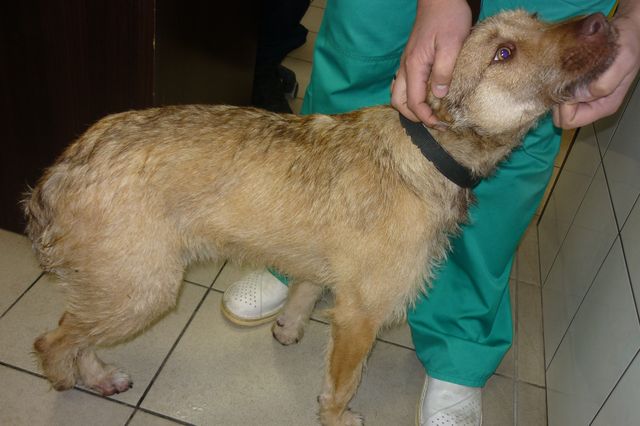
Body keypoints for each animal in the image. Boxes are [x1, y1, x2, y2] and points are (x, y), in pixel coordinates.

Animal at [23, 10, 617, 426]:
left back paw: (95, 374)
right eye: (503, 52)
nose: (602, 21)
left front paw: (289, 324)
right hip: (144, 288)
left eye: (538, 17)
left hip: (121, 284)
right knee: (53, 339)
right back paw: (69, 380)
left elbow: (306, 290)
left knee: (75, 329)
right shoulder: (362, 315)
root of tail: (60, 172)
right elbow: (344, 382)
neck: (425, 149)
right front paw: (337, 416)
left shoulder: (326, 271)